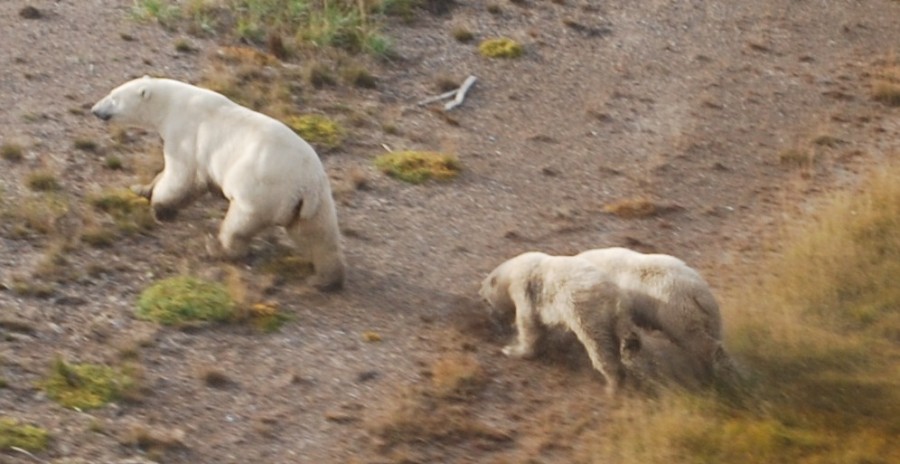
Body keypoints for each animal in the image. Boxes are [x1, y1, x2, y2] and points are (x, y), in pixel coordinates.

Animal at [91, 78, 344, 292]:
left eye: (114, 97)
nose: (94, 110)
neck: (171, 104)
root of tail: (306, 183)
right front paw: (142, 188)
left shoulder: (185, 135)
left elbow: (181, 175)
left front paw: (159, 207)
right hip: (313, 201)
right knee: (317, 234)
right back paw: (325, 278)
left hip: (260, 190)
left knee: (238, 225)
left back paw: (217, 248)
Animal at [478, 250, 640, 396]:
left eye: (486, 300)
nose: (491, 317)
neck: (512, 272)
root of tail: (616, 298)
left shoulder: (524, 288)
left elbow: (528, 324)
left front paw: (511, 349)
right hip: (620, 316)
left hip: (587, 310)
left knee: (598, 343)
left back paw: (612, 385)